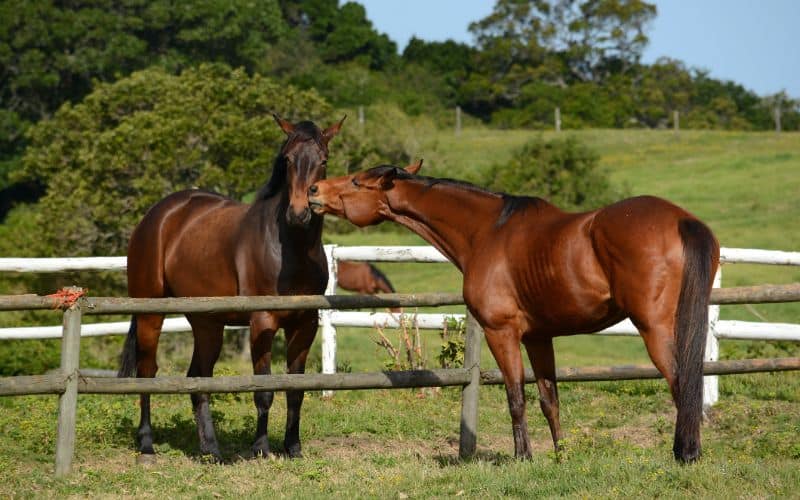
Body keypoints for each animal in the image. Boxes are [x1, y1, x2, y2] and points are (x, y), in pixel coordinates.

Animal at [119, 115, 344, 462]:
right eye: (288, 159)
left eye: (323, 161)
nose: (298, 213)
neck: (290, 250)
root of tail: (159, 214)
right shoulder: (262, 322)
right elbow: (264, 390)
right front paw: (261, 448)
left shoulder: (305, 324)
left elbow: (295, 389)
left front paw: (293, 447)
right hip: (150, 313)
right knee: (147, 373)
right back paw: (147, 445)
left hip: (207, 323)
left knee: (198, 378)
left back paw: (211, 450)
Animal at [306, 162, 720, 462]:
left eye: (357, 181)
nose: (313, 190)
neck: (487, 232)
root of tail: (680, 220)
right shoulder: (539, 337)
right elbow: (549, 399)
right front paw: (560, 456)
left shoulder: (500, 332)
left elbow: (515, 397)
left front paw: (524, 458)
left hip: (654, 328)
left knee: (681, 384)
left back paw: (686, 453)